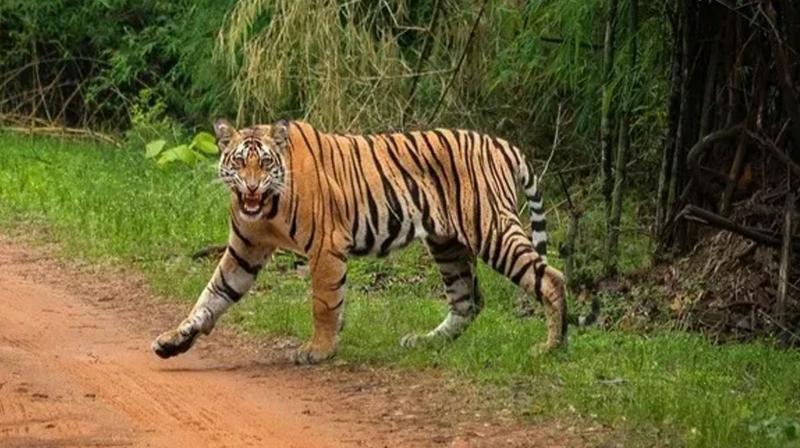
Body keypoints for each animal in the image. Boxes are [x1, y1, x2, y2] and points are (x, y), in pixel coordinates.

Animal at [152, 119, 567, 364]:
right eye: (239, 163)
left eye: (265, 163)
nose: (251, 187)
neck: (266, 208)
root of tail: (502, 144)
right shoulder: (245, 250)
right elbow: (211, 296)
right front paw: (174, 340)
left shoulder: (325, 245)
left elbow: (324, 302)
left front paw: (319, 350)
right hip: (447, 243)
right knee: (468, 301)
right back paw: (424, 342)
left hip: (491, 228)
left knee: (551, 278)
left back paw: (551, 347)